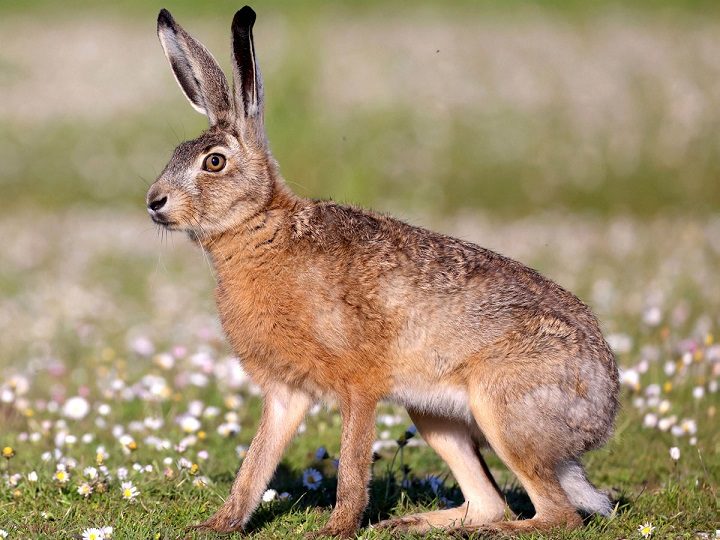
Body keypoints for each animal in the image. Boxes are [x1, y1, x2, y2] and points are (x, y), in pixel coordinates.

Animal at [147, 6, 619, 538]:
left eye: (214, 162)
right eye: (175, 154)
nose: (155, 202)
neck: (262, 228)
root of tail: (601, 409)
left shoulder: (359, 385)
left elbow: (353, 467)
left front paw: (334, 530)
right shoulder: (286, 393)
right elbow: (254, 466)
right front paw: (216, 525)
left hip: (503, 407)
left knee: (558, 516)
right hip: (433, 412)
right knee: (491, 500)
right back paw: (411, 523)